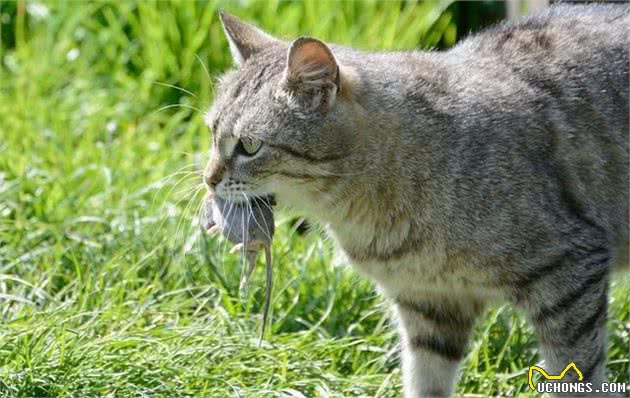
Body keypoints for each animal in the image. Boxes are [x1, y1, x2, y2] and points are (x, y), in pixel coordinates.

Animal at [205, 4, 628, 396]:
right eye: (211, 131)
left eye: (249, 146)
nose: (209, 179)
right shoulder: (429, 304)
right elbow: (425, 379)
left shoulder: (569, 272)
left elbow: (576, 371)